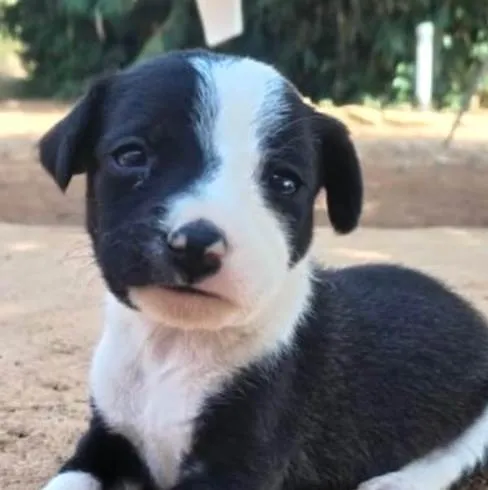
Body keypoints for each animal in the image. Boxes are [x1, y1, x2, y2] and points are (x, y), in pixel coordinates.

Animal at [40, 50, 488, 490]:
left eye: (284, 182)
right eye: (130, 156)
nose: (196, 244)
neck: (174, 342)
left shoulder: (240, 461)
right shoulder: (102, 439)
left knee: (458, 455)